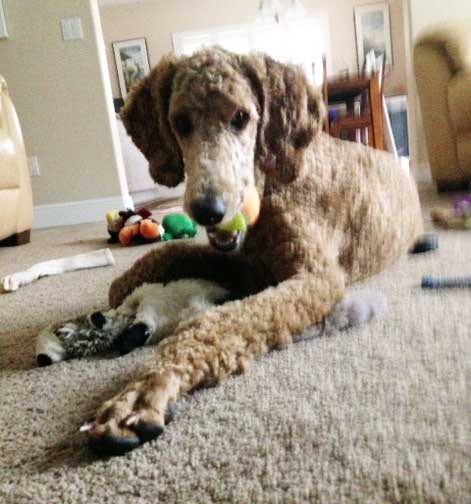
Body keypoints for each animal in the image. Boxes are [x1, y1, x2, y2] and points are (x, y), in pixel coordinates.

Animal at [80, 47, 422, 456]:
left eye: (241, 117)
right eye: (181, 122)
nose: (208, 210)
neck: (271, 184)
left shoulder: (317, 277)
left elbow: (219, 321)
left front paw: (144, 392)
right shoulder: (239, 263)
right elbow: (168, 252)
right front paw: (123, 284)